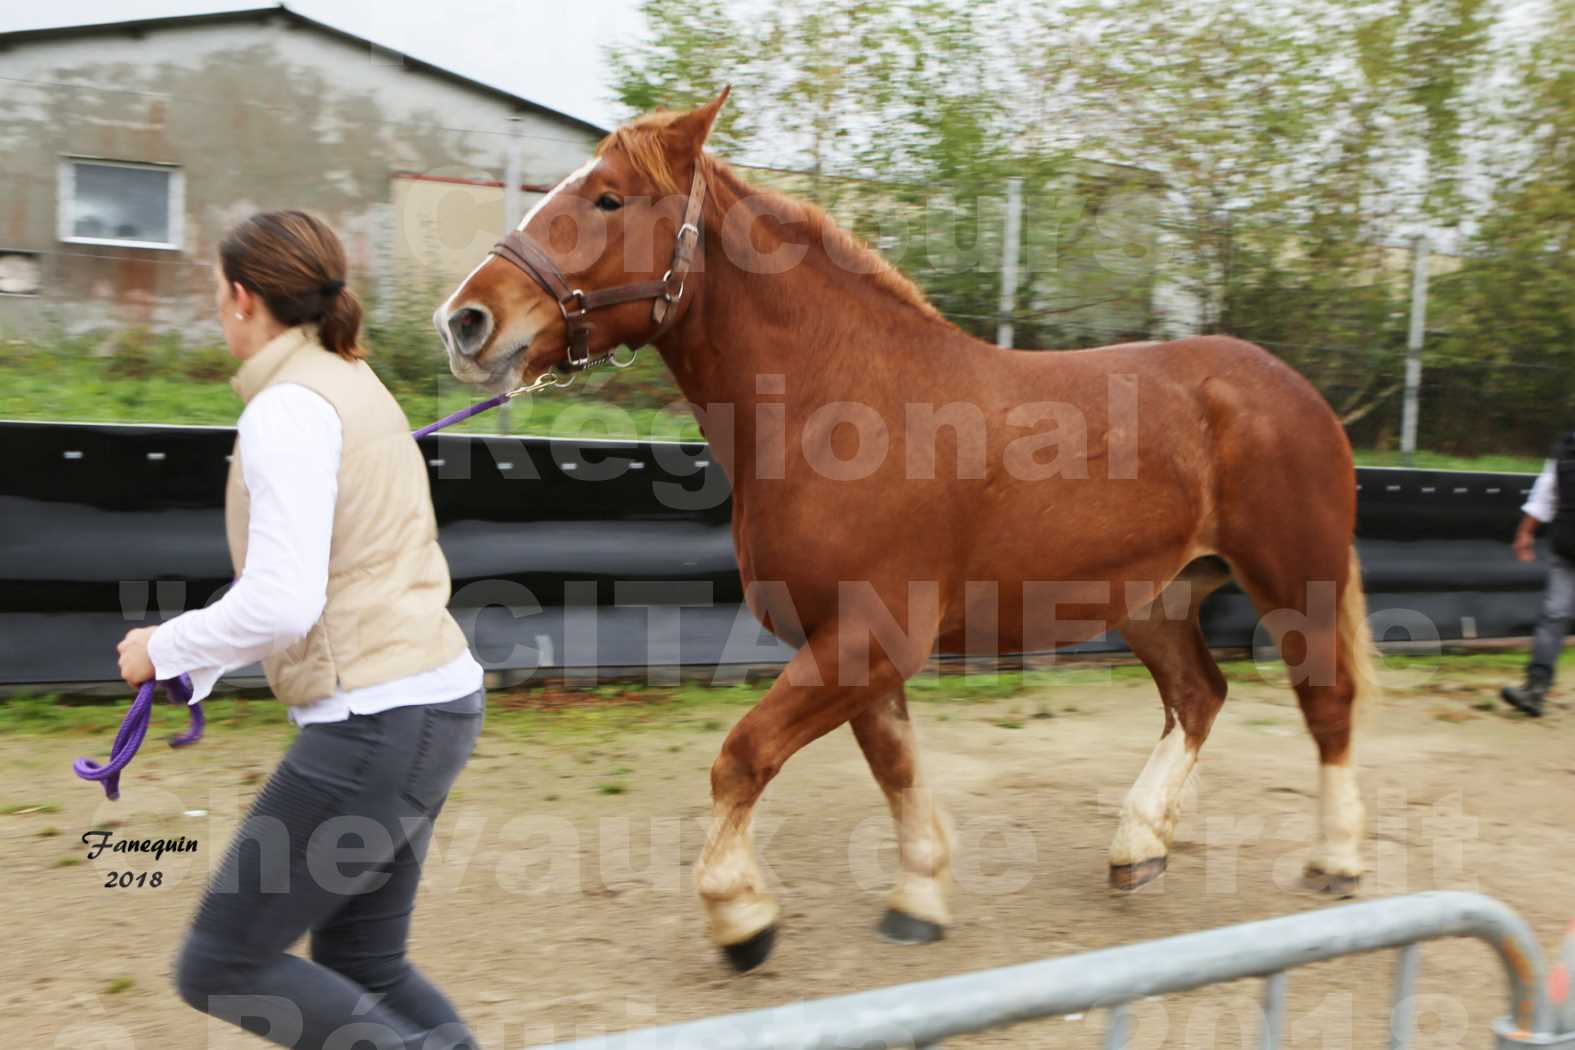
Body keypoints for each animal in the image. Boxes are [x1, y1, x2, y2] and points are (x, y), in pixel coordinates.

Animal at [434, 90, 1379, 969]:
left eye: (608, 198)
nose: (466, 320)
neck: (839, 410)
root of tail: (1292, 391)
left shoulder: (868, 637)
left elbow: (742, 756)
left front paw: (740, 916)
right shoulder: (852, 646)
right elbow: (893, 767)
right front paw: (918, 897)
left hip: (1293, 577)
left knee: (1325, 700)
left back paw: (1335, 861)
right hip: (1158, 597)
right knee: (1197, 698)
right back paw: (1136, 848)